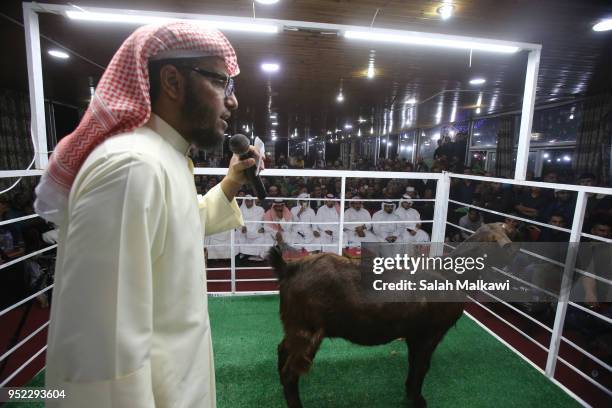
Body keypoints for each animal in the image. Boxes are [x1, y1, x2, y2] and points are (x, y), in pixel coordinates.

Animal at [268, 223, 512, 408]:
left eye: (510, 230)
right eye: (494, 240)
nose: (511, 248)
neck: (451, 274)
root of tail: (288, 267)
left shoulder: (414, 335)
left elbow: (415, 364)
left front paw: (409, 393)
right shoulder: (430, 334)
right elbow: (422, 366)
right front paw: (417, 399)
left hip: (294, 326)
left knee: (282, 350)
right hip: (307, 330)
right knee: (291, 371)